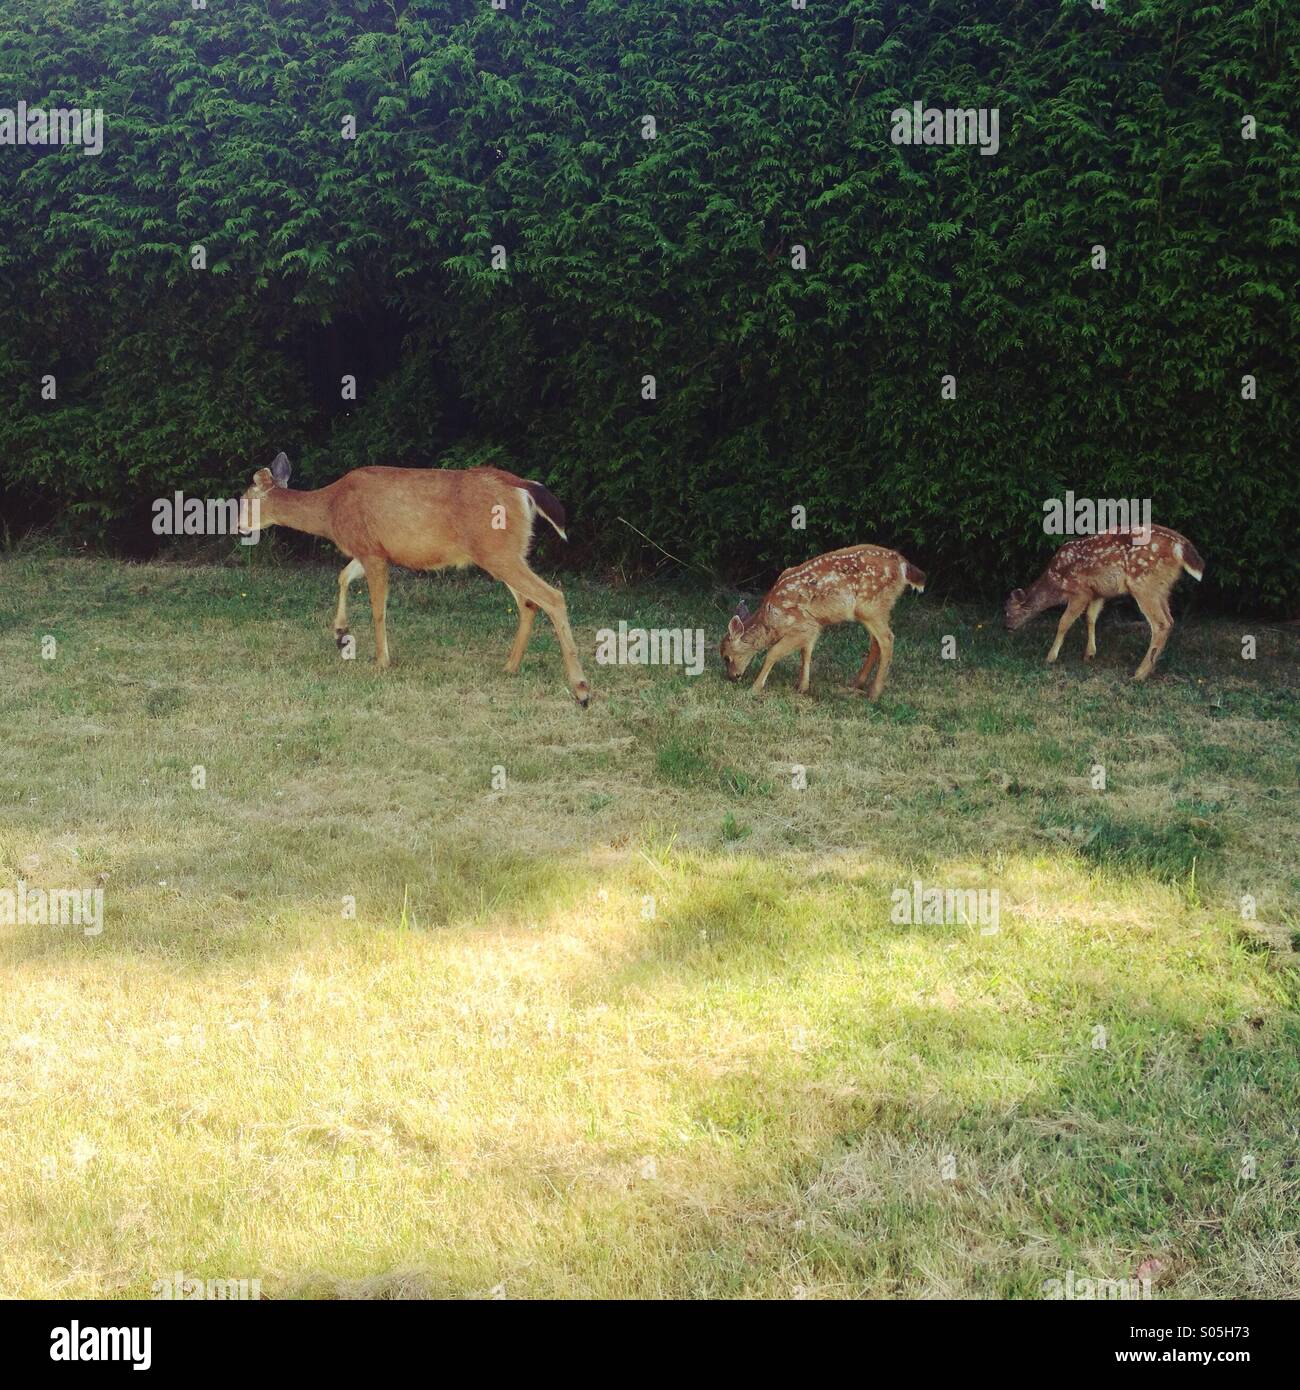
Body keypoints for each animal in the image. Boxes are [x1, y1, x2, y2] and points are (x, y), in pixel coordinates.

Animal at [236, 455, 592, 706]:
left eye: (245, 499)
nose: (239, 527)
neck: (330, 510)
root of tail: (521, 485)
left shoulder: (372, 552)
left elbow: (378, 609)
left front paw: (381, 661)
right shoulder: (372, 550)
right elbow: (342, 576)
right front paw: (340, 633)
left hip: (498, 552)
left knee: (553, 596)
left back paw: (581, 689)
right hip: (505, 553)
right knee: (529, 602)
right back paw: (510, 667)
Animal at [722, 542, 923, 695]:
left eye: (726, 657)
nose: (732, 677)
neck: (771, 619)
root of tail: (903, 564)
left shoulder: (802, 625)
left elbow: (773, 653)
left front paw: (755, 688)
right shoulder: (813, 627)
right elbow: (806, 653)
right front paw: (802, 687)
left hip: (870, 607)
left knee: (887, 639)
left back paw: (874, 693)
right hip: (875, 610)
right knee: (876, 642)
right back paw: (857, 683)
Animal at [1006, 522, 1212, 681]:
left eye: (1008, 611)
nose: (1006, 626)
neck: (1056, 582)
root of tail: (1181, 547)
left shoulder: (1080, 591)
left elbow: (1064, 622)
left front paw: (1050, 657)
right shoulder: (1098, 592)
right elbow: (1090, 618)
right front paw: (1089, 654)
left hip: (1143, 583)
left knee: (1161, 624)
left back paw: (1139, 674)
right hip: (1161, 588)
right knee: (1170, 619)